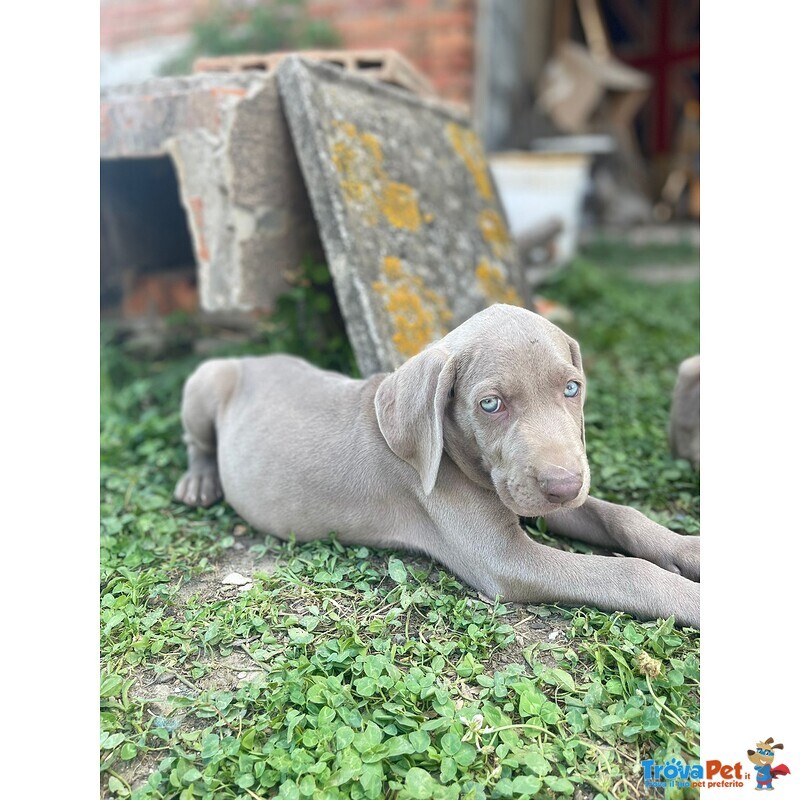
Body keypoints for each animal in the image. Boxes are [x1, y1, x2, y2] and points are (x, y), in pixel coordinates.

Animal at [175, 304, 700, 628]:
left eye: (572, 388)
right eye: (490, 404)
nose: (564, 484)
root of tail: (251, 357)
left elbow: (622, 516)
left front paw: (689, 549)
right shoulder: (504, 559)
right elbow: (627, 573)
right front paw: (694, 599)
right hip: (206, 381)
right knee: (196, 442)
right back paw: (199, 481)